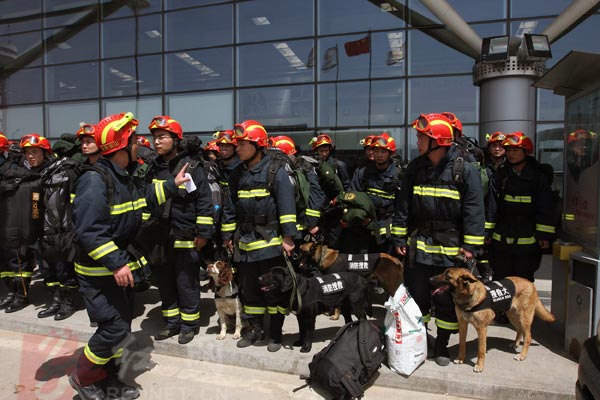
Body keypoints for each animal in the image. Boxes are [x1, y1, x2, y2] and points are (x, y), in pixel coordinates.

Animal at [428, 268, 556, 374]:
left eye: (447, 276)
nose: (430, 279)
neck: (468, 295)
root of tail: (530, 283)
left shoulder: (482, 329)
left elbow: (481, 350)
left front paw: (479, 366)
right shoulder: (462, 324)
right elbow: (462, 344)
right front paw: (460, 359)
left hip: (524, 317)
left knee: (528, 336)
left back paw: (522, 355)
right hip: (512, 315)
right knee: (520, 330)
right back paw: (515, 344)